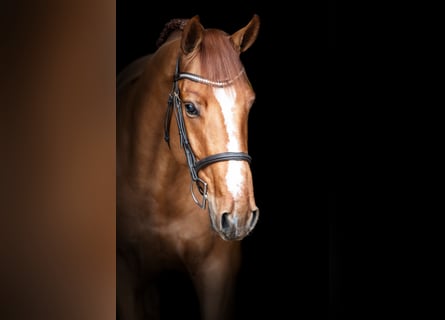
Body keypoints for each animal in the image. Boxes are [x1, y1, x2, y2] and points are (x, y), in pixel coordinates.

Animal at [116, 13, 260, 318]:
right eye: (190, 107)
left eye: (250, 103)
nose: (240, 214)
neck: (157, 191)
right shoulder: (126, 277)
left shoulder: (217, 275)